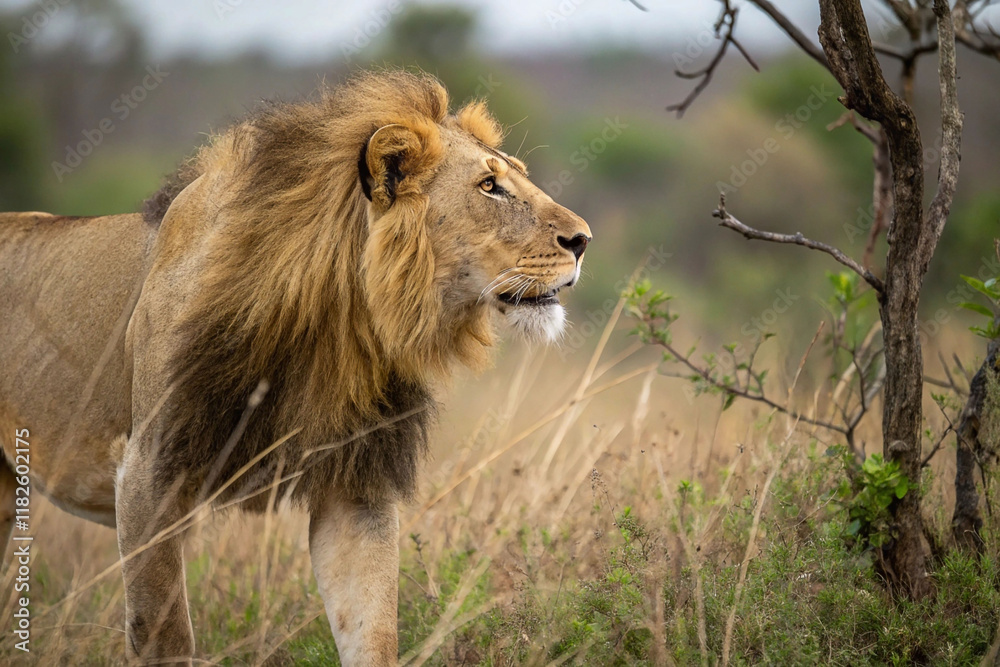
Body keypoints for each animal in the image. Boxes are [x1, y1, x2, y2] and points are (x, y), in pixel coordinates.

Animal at [0, 70, 590, 665]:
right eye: (489, 187)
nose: (583, 240)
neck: (339, 317)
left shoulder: (357, 484)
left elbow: (373, 628)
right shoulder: (148, 468)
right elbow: (165, 633)